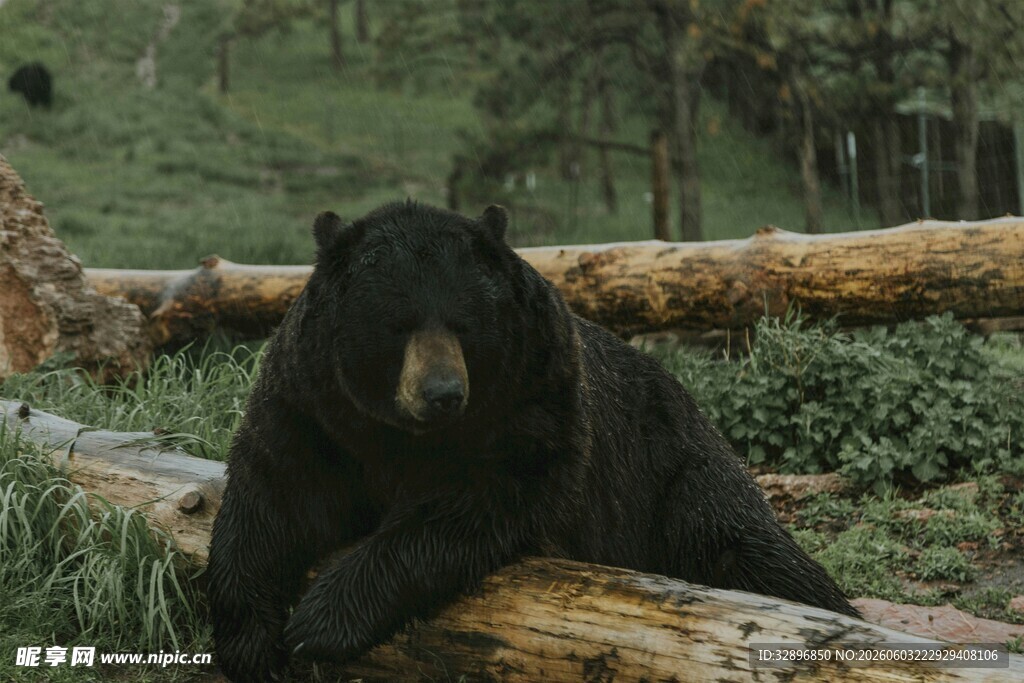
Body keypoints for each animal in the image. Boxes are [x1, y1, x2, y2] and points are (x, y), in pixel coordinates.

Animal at [207, 201, 857, 682]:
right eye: (397, 324)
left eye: (464, 323)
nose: (442, 393)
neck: (403, 433)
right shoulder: (312, 402)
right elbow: (273, 495)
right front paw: (251, 641)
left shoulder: (535, 397)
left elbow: (471, 503)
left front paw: (321, 620)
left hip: (674, 476)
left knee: (752, 552)